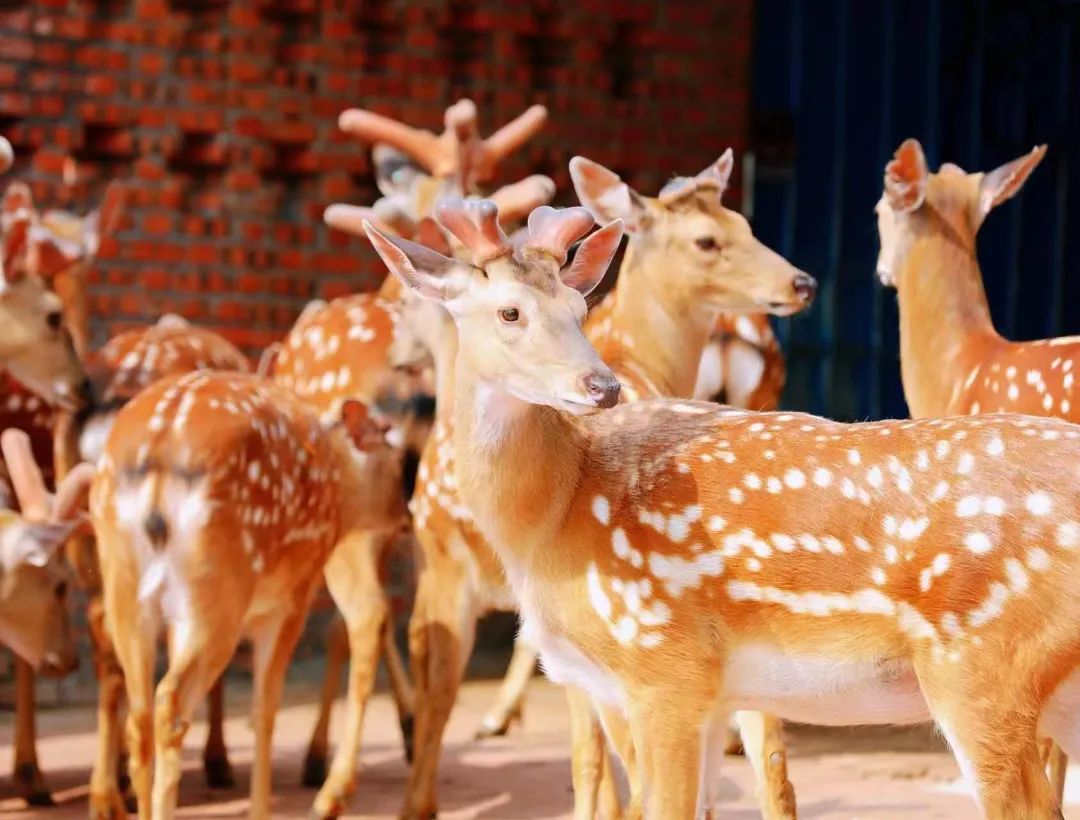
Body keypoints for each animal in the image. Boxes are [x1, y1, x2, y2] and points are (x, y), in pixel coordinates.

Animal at [90, 371, 406, 820]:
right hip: (219, 592)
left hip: (126, 588)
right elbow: (265, 710)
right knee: (170, 702)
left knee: (141, 714)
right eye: (391, 451)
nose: (405, 513)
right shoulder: (293, 596)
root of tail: (158, 458)